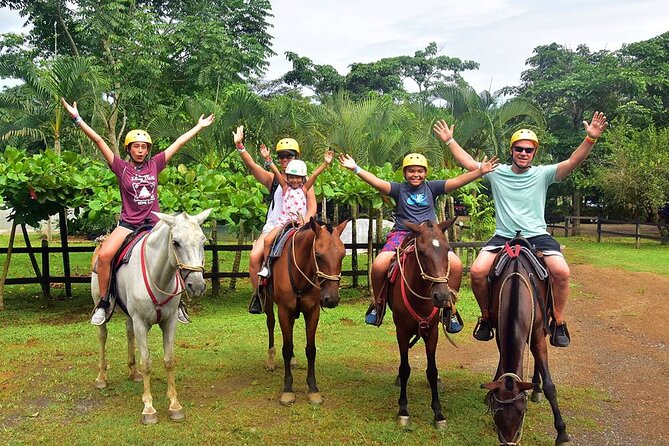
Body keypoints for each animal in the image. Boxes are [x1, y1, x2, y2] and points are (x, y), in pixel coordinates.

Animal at [91, 209, 210, 426]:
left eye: (202, 240)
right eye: (176, 242)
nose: (197, 286)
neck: (158, 275)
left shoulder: (169, 322)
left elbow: (169, 360)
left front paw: (175, 406)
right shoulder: (141, 323)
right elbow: (146, 363)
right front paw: (148, 408)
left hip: (130, 316)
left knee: (129, 333)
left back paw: (133, 372)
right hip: (100, 303)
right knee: (102, 336)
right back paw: (101, 378)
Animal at [260, 218, 348, 406]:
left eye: (343, 255)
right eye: (318, 255)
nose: (332, 299)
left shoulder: (312, 312)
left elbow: (311, 349)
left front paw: (313, 389)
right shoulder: (284, 311)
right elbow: (286, 348)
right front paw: (288, 389)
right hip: (268, 301)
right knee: (270, 324)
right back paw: (270, 361)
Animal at [386, 219, 460, 428]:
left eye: (447, 249)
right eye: (421, 251)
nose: (442, 296)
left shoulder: (432, 332)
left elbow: (432, 371)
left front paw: (438, 413)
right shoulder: (401, 332)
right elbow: (404, 369)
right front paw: (403, 410)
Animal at [480, 235, 568, 444]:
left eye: (521, 412)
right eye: (496, 413)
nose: (510, 442)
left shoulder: (537, 335)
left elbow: (550, 386)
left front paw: (561, 432)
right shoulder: (500, 331)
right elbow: (502, 363)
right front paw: (490, 392)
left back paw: (536, 388)